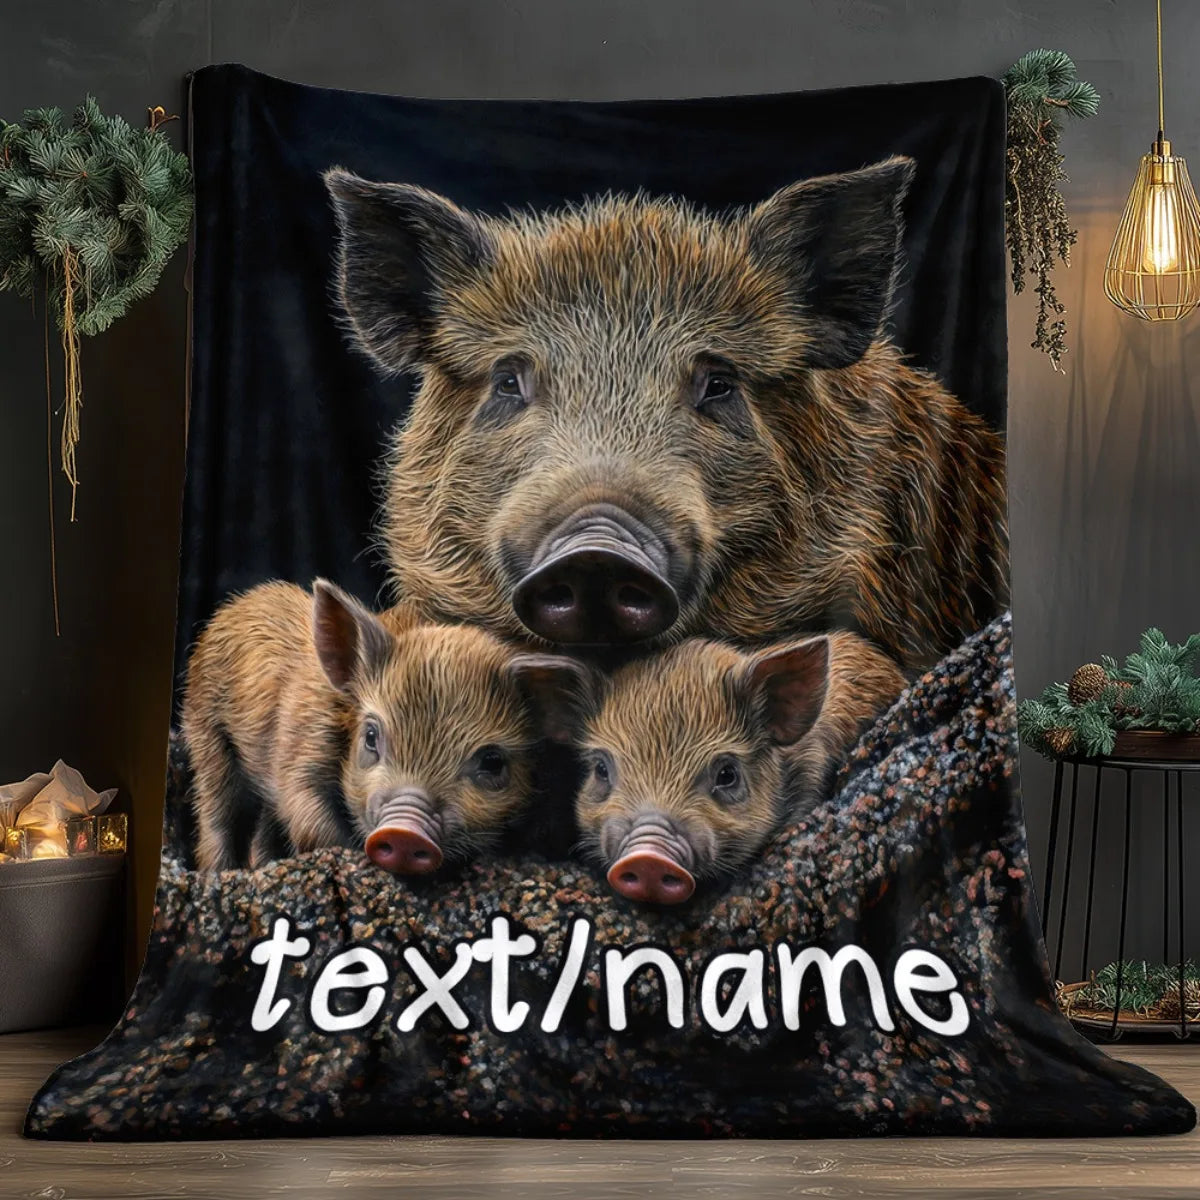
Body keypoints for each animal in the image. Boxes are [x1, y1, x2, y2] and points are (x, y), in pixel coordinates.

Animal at [182, 579, 586, 873]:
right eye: (371, 736)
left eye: (492, 761)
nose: (404, 832)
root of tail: (233, 607)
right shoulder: (301, 749)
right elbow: (312, 824)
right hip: (203, 728)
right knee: (216, 810)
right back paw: (217, 874)